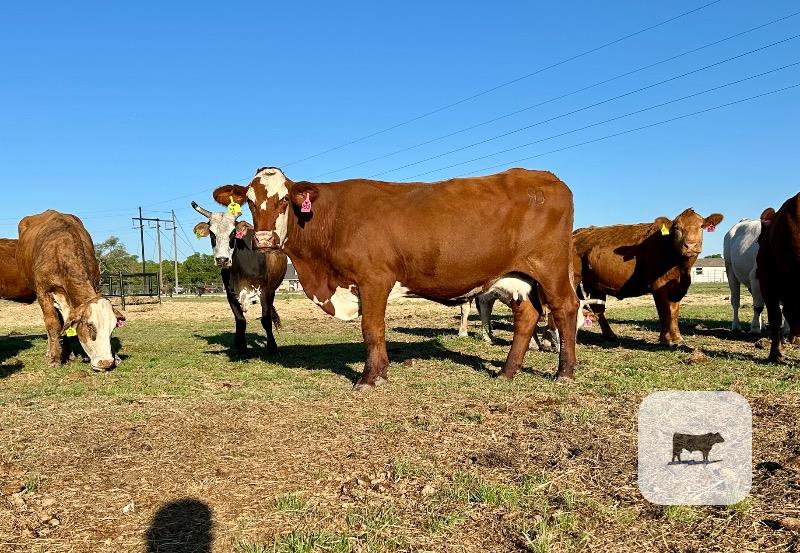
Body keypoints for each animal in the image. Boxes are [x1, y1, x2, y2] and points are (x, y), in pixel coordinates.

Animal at [16, 211, 125, 370]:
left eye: (112, 328)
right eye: (90, 326)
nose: (106, 362)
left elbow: (66, 325)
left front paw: (115, 357)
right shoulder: (43, 293)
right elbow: (53, 325)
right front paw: (55, 358)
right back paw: (51, 352)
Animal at [191, 202, 287, 354]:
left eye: (233, 233)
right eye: (212, 233)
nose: (222, 259)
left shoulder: (265, 292)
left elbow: (266, 320)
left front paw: (273, 347)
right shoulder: (230, 294)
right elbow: (240, 321)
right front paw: (241, 347)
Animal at [212, 166, 579, 390]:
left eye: (285, 199)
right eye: (249, 201)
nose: (263, 240)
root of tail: (548, 178)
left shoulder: (373, 279)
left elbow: (372, 329)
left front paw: (369, 378)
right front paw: (380, 372)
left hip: (550, 268)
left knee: (566, 308)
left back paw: (564, 372)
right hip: (517, 278)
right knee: (528, 316)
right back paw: (506, 372)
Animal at [574, 208, 723, 345]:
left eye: (701, 226)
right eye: (676, 228)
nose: (690, 245)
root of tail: (577, 232)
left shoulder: (677, 287)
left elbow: (674, 312)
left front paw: (677, 337)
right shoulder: (658, 286)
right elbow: (664, 312)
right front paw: (665, 339)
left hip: (595, 284)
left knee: (598, 310)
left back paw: (610, 335)